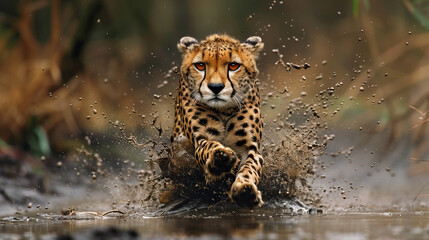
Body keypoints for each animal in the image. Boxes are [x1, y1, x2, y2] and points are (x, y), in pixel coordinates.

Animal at [171, 34, 264, 208]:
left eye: (234, 66)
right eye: (200, 65)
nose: (215, 87)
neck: (224, 111)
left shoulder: (250, 148)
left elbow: (250, 169)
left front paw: (245, 190)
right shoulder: (200, 140)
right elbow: (209, 145)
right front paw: (221, 158)